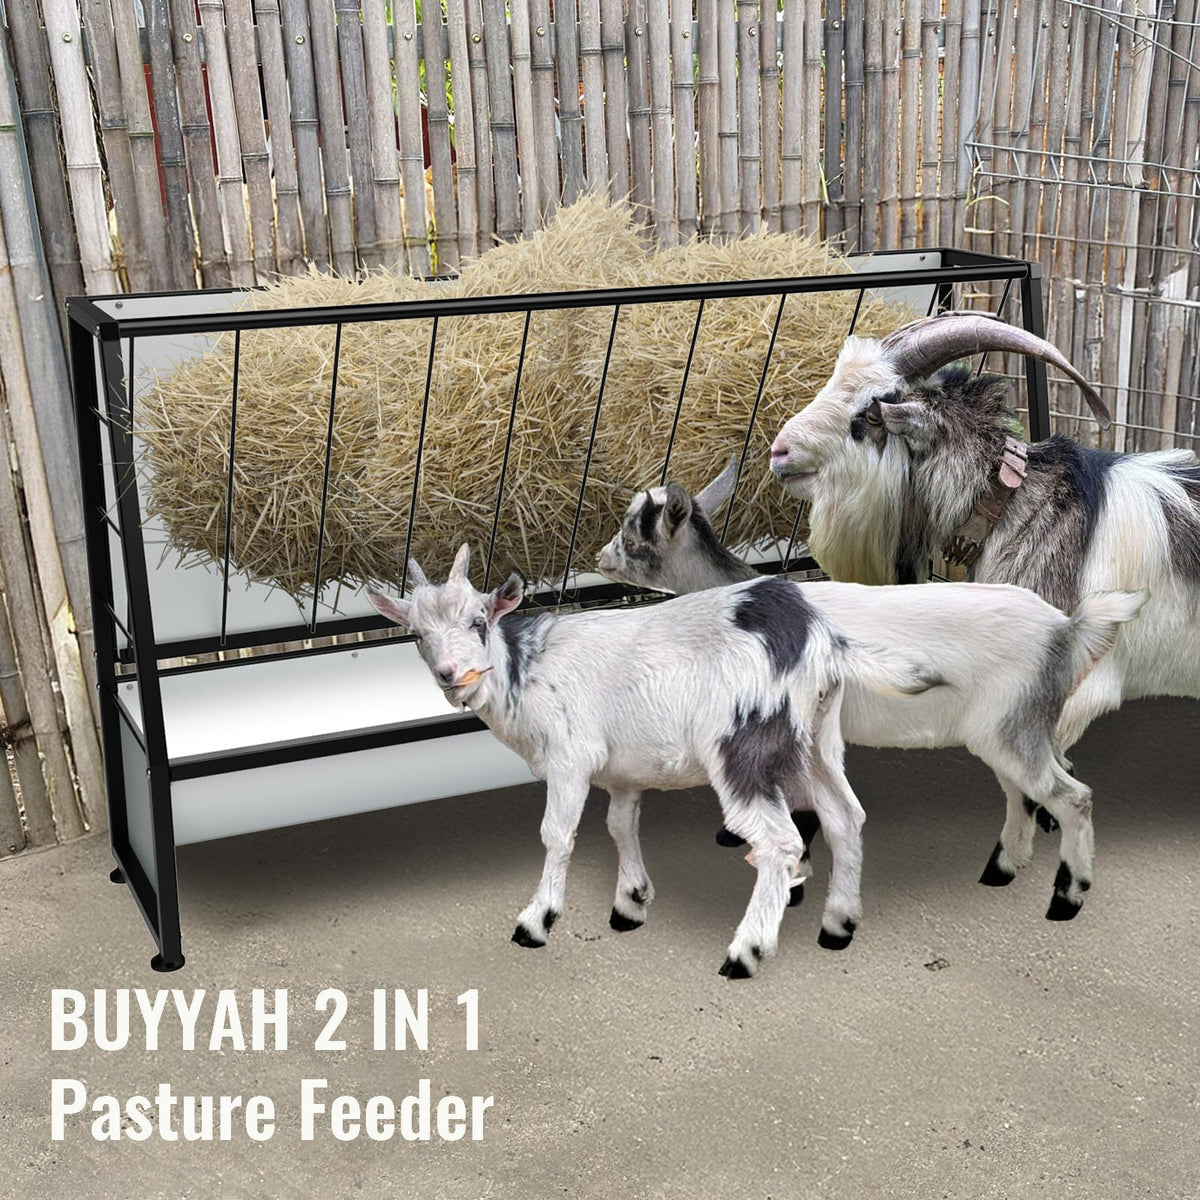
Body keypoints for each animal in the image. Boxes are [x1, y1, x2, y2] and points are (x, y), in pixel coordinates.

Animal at [368, 542, 945, 977]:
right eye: (416, 634)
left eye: (479, 621)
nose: (451, 675)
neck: (526, 672)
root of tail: (821, 638)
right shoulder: (623, 771)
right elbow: (621, 825)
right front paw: (631, 900)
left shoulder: (571, 756)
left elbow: (557, 834)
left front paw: (537, 920)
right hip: (814, 740)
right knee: (846, 816)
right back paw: (839, 924)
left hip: (742, 742)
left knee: (780, 841)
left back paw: (746, 951)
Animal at [596, 461, 1146, 913]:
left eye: (635, 531)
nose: (601, 558)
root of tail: (1066, 630)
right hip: (1011, 729)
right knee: (1026, 791)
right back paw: (1004, 867)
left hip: (1012, 727)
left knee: (1071, 797)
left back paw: (1068, 895)